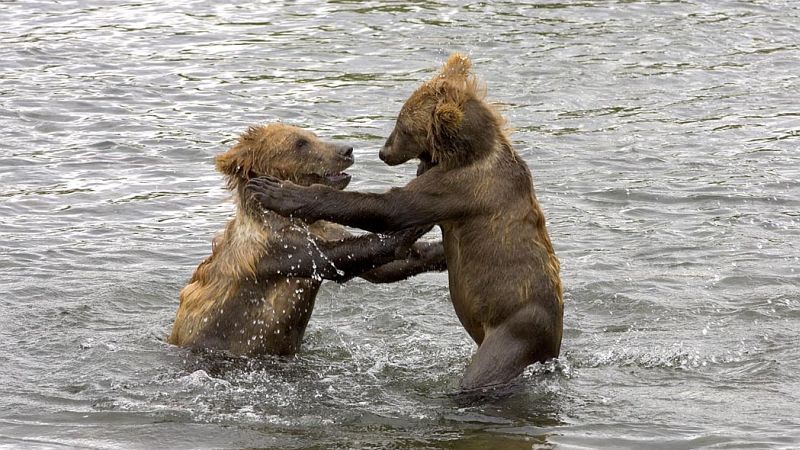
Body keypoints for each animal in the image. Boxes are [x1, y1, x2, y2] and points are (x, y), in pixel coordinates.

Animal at [168, 123, 446, 357]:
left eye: (313, 135)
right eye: (300, 143)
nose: (346, 149)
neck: (295, 221)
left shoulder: (324, 230)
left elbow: (384, 269)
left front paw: (439, 250)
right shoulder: (275, 249)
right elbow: (334, 259)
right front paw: (413, 226)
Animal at [245, 54, 563, 391]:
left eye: (403, 127)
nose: (383, 152)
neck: (465, 153)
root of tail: (552, 350)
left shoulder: (462, 187)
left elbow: (391, 207)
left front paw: (276, 191)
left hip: (515, 330)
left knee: (485, 370)